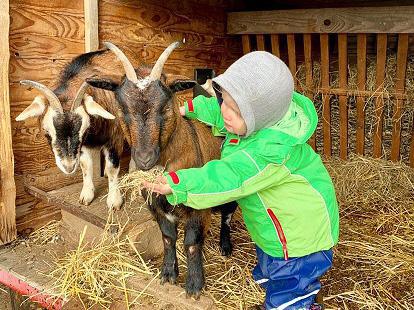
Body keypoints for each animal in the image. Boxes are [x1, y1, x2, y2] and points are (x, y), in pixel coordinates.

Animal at [86, 42, 236, 300]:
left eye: (165, 105)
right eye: (122, 108)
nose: (145, 159)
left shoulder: (197, 207)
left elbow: (192, 242)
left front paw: (194, 285)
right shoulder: (156, 206)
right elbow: (168, 237)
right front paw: (168, 274)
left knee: (227, 216)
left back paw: (225, 246)